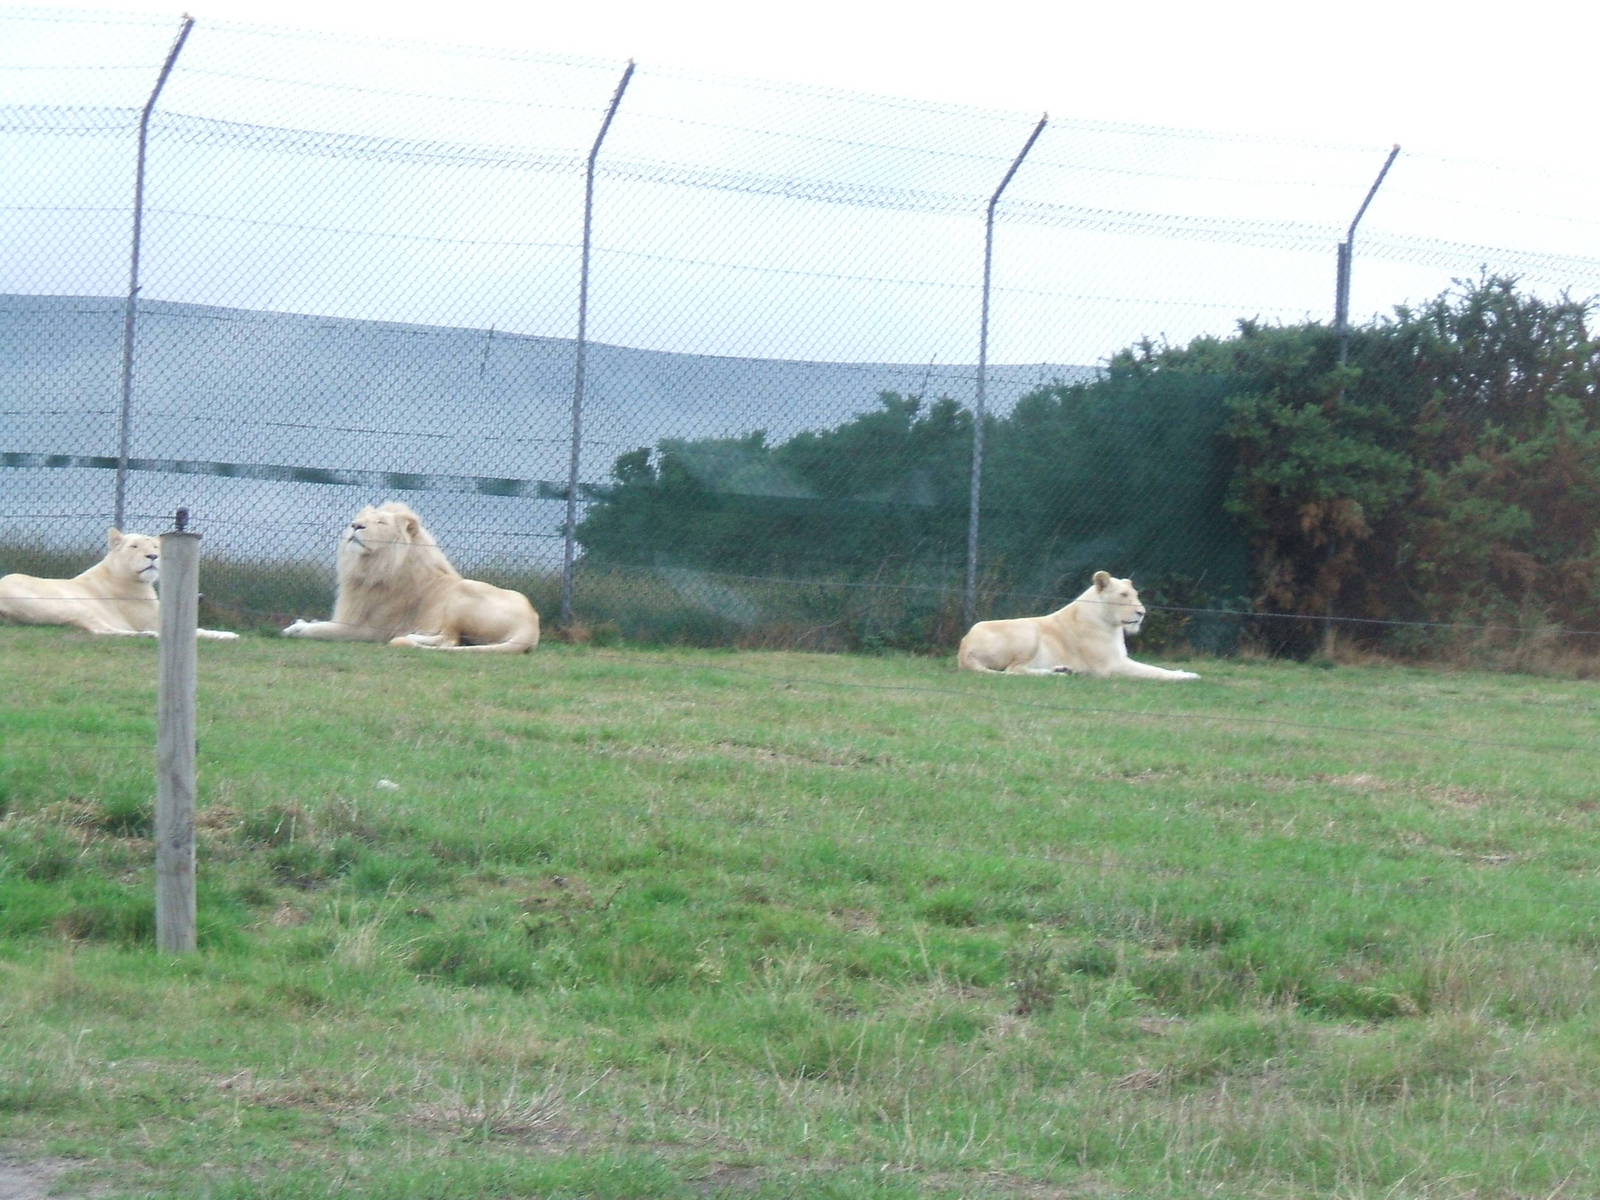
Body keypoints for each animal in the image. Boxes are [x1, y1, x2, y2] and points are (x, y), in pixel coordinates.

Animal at [0, 528, 239, 640]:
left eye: (155, 546)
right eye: (134, 546)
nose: (153, 556)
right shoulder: (157, 622)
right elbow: (199, 631)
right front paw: (228, 635)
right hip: (71, 604)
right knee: (100, 631)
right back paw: (148, 636)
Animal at [281, 501, 540, 654]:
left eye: (380, 522)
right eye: (361, 519)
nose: (355, 526)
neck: (370, 567)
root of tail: (531, 626)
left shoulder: (369, 630)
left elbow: (322, 630)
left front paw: (297, 629)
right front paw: (301, 622)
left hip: (464, 593)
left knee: (449, 640)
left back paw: (410, 636)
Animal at [958, 570, 1199, 680]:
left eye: (1136, 594)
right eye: (1123, 595)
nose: (1142, 613)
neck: (1111, 624)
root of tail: (963, 647)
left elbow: (1156, 667)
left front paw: (1181, 670)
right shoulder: (1111, 666)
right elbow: (1152, 671)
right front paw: (1187, 676)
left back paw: (1062, 669)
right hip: (1028, 630)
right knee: (1014, 670)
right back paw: (1059, 674)